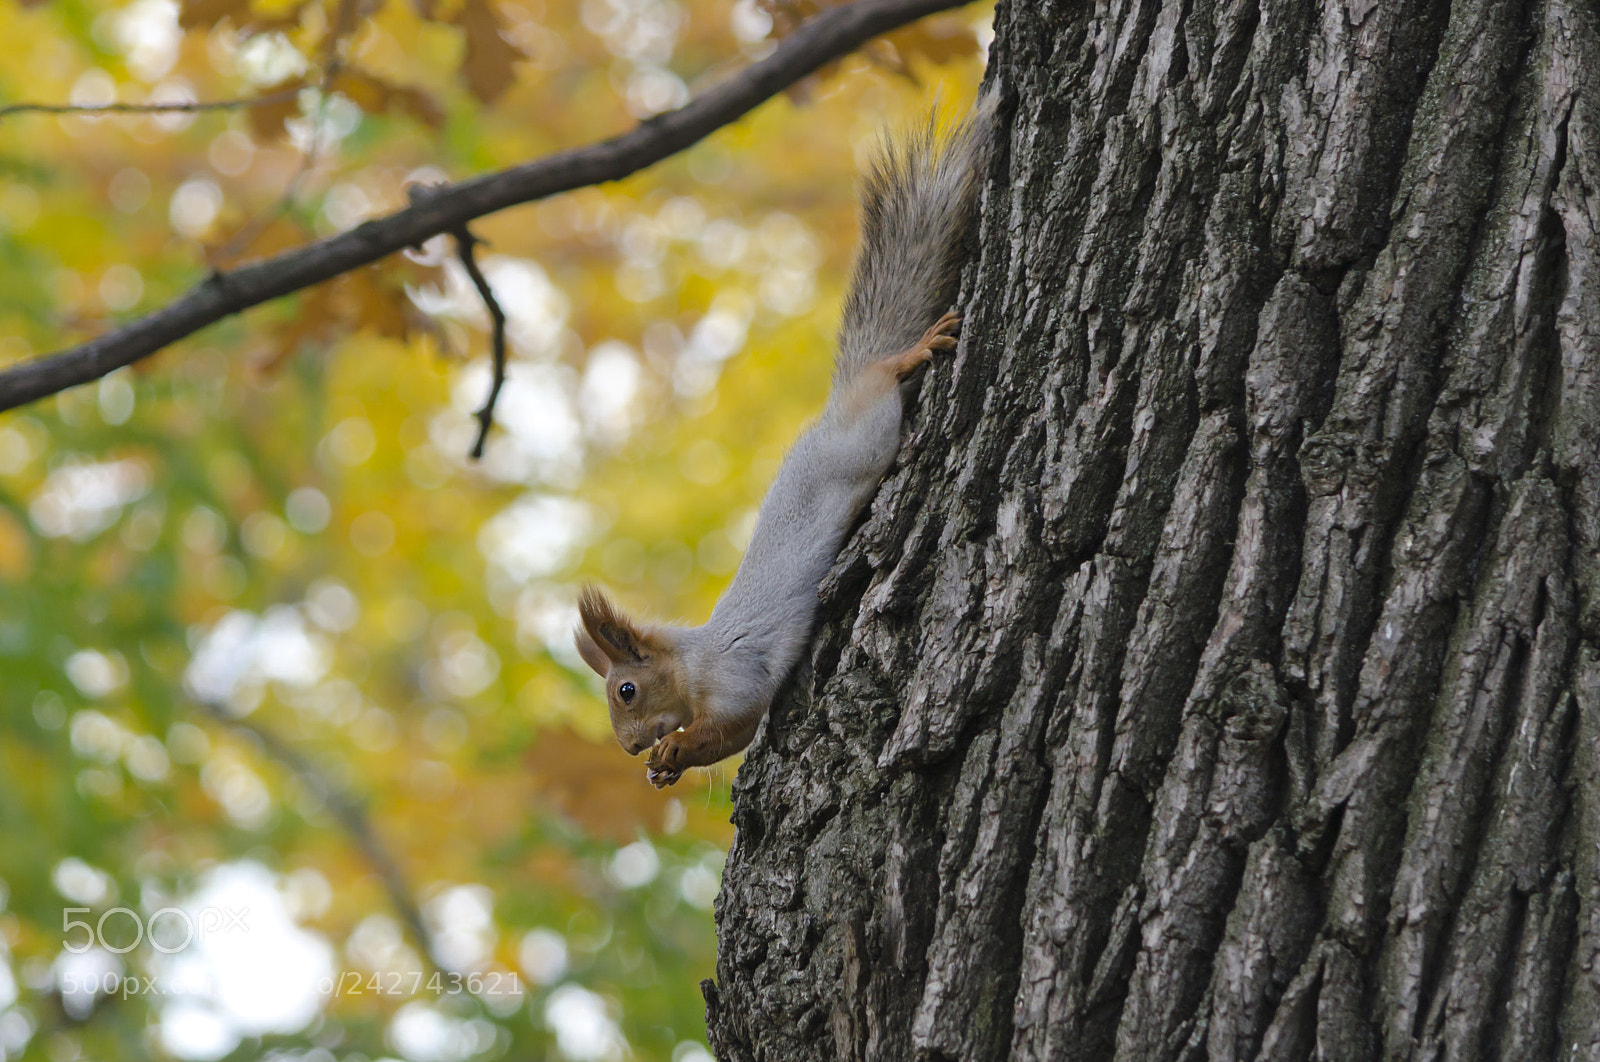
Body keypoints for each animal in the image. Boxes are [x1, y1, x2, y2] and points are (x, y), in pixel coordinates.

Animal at [575, 89, 998, 788]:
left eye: (627, 691)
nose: (633, 748)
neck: (696, 661)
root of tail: (834, 408)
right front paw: (666, 766)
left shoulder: (738, 678)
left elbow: (737, 725)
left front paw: (677, 752)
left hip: (867, 433)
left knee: (882, 379)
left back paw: (912, 352)